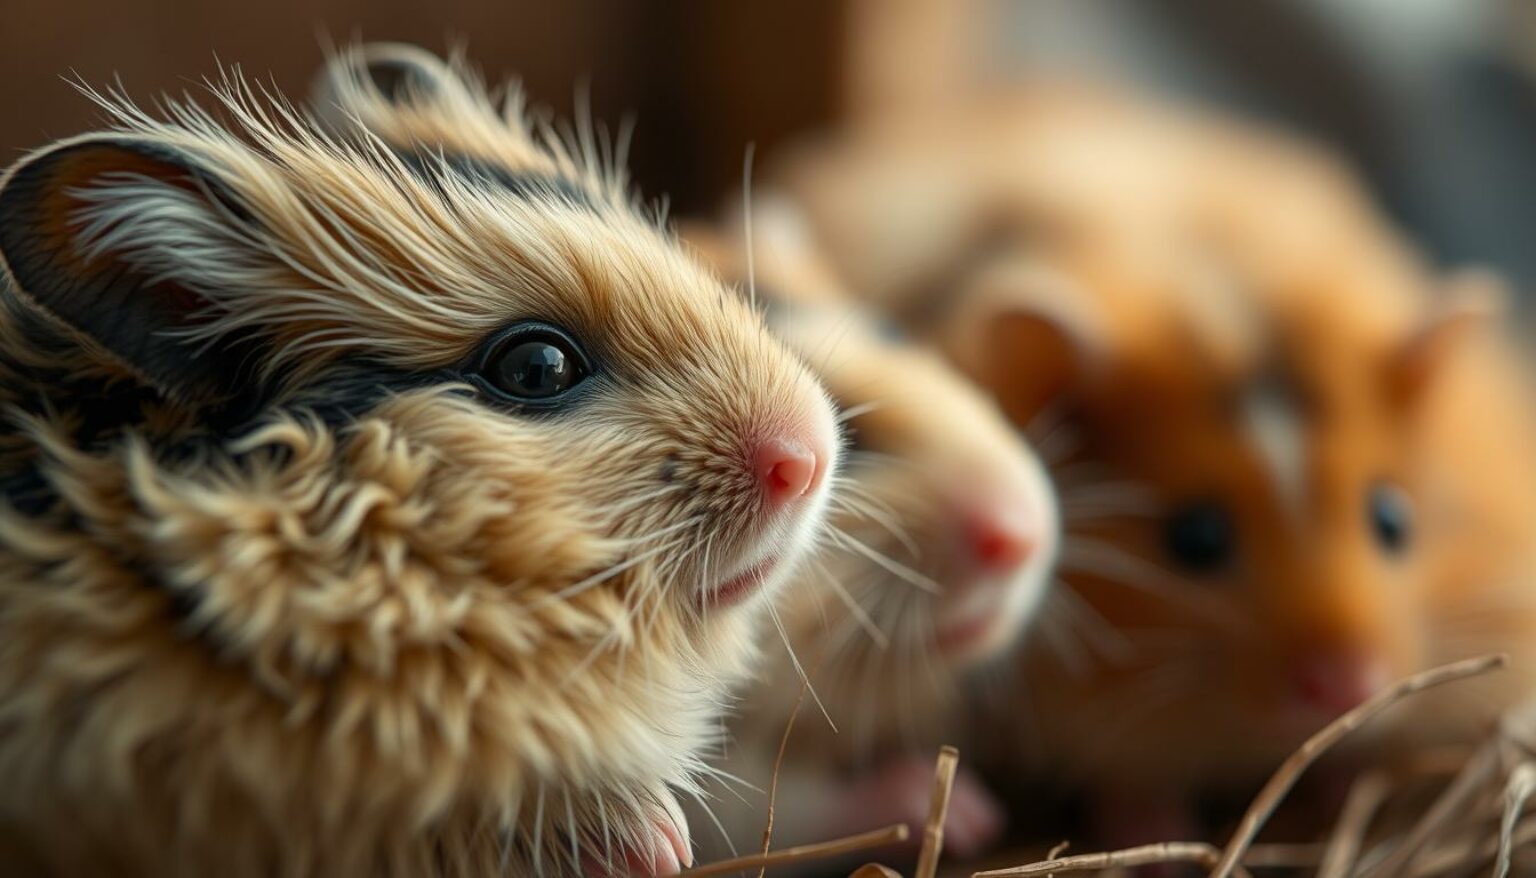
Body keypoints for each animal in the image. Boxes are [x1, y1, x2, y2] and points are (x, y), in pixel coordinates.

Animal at [766, 86, 1536, 840]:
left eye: (1393, 518)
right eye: (1196, 536)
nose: (1348, 687)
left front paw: (1335, 782)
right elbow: (1132, 782)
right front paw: (1155, 836)